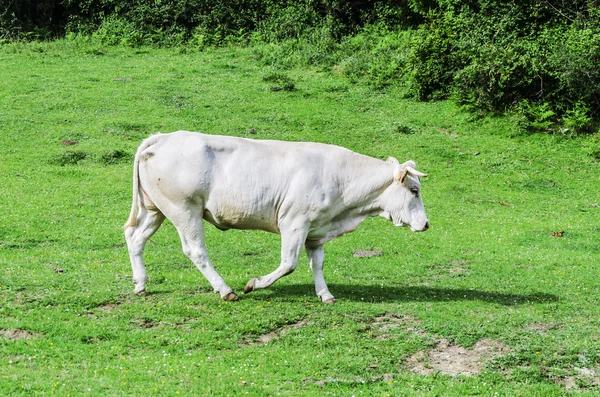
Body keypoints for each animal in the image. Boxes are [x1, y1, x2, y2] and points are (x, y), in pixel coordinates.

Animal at [124, 131, 428, 302]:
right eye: (414, 190)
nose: (426, 224)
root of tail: (164, 136)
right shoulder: (294, 222)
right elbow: (289, 263)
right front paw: (255, 284)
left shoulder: (316, 230)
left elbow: (317, 264)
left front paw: (325, 295)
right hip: (184, 210)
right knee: (196, 251)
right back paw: (226, 290)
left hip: (155, 209)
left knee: (135, 237)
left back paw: (140, 285)